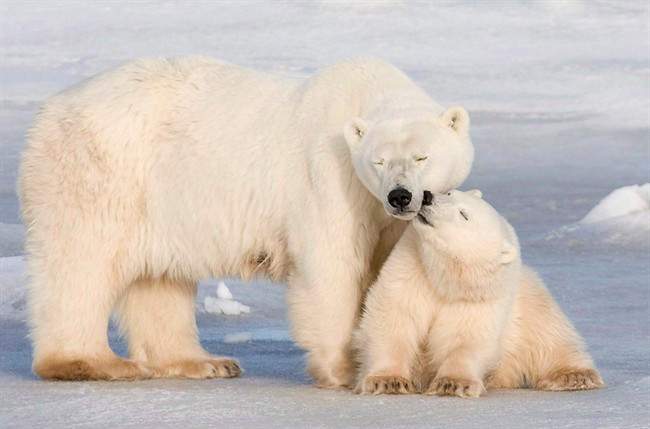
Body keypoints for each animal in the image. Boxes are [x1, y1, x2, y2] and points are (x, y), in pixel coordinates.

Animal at [18, 57, 474, 386]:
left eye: (422, 156)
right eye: (378, 161)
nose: (400, 195)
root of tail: (50, 108)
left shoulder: (384, 216)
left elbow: (388, 271)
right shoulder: (330, 177)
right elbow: (332, 264)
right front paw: (345, 369)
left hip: (160, 203)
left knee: (158, 279)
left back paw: (205, 362)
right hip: (100, 170)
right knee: (81, 262)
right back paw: (91, 362)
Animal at [354, 189, 603, 396]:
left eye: (464, 215)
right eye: (449, 192)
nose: (427, 196)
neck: (444, 278)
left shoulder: (479, 297)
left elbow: (467, 336)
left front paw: (453, 384)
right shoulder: (409, 271)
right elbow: (394, 318)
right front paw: (388, 381)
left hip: (530, 299)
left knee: (549, 332)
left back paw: (574, 376)